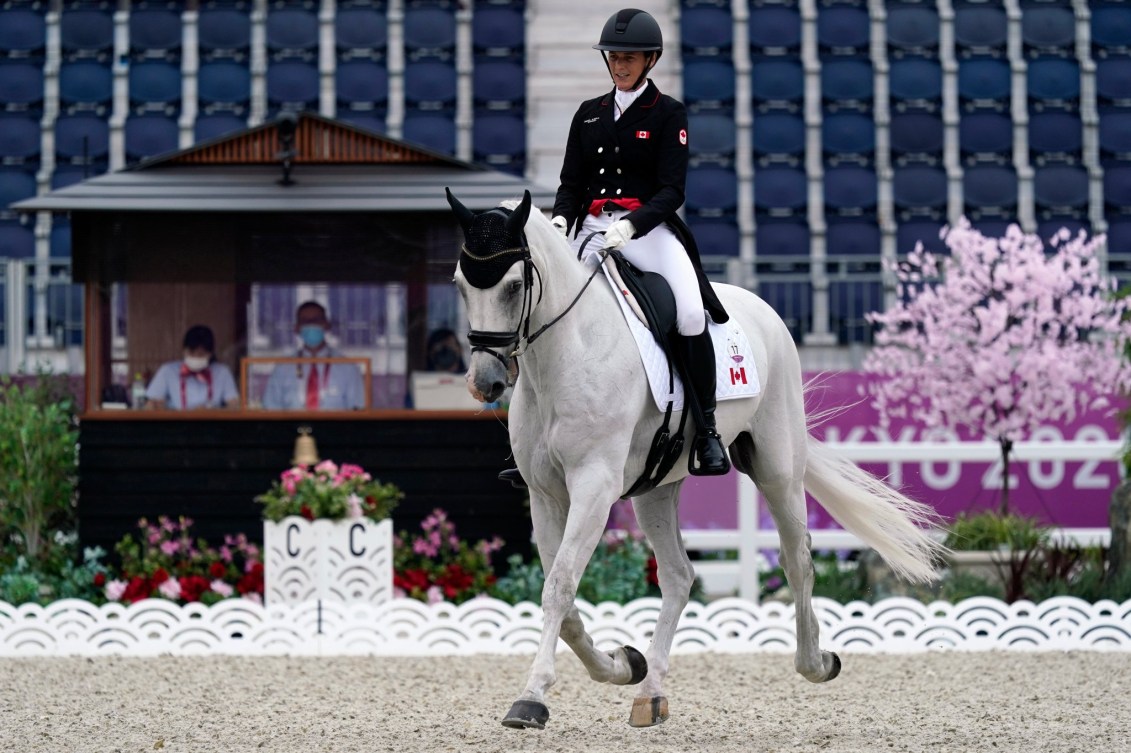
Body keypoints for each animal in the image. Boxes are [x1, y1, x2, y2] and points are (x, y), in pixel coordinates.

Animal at [445, 187, 940, 728]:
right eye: (459, 285)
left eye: (514, 286)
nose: (485, 382)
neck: (567, 352)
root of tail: (762, 308)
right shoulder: (545, 494)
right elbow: (565, 595)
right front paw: (622, 664)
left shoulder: (594, 487)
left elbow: (559, 586)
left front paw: (531, 698)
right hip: (655, 488)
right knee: (680, 576)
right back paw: (650, 690)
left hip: (777, 468)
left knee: (798, 558)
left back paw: (815, 662)